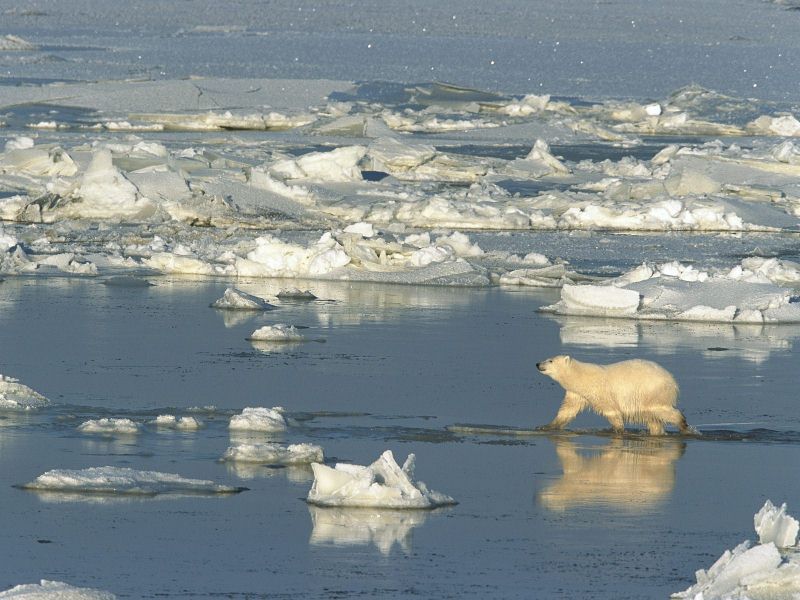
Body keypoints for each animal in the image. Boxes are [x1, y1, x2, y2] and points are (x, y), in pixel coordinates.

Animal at [536, 356, 692, 436]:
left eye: (550, 360)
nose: (537, 364)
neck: (582, 377)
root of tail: (672, 381)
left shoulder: (600, 391)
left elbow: (611, 410)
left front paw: (618, 430)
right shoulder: (577, 394)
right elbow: (567, 411)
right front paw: (547, 426)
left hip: (652, 393)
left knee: (662, 410)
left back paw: (683, 425)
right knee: (653, 420)